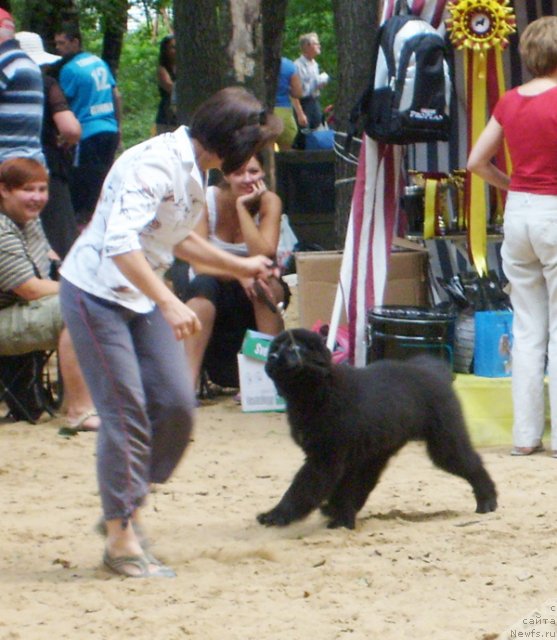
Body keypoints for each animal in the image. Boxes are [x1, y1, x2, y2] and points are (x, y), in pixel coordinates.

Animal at [256, 328, 496, 528]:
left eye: (294, 348)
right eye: (274, 348)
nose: (272, 358)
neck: (320, 391)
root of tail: (435, 372)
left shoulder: (326, 458)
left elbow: (301, 488)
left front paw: (276, 516)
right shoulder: (341, 458)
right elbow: (339, 490)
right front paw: (341, 519)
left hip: (443, 442)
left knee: (471, 463)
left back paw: (487, 500)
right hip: (377, 452)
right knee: (365, 484)